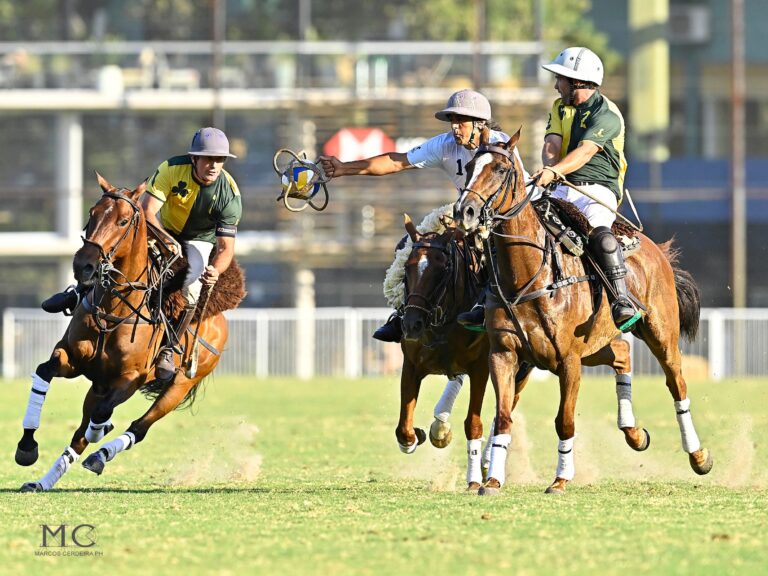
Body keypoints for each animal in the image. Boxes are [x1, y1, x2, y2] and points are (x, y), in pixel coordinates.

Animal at [15, 176, 236, 490]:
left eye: (122, 221)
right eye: (92, 213)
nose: (84, 265)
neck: (115, 307)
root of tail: (221, 321)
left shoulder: (131, 378)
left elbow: (102, 415)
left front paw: (100, 431)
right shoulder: (71, 358)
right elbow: (44, 372)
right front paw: (26, 447)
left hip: (180, 385)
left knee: (137, 427)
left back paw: (101, 454)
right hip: (99, 385)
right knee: (79, 436)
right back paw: (44, 482)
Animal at [452, 129, 712, 496]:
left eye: (501, 170)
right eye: (470, 167)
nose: (466, 212)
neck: (528, 275)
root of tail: (655, 248)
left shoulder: (568, 360)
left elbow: (565, 421)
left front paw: (560, 479)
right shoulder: (503, 354)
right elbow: (502, 415)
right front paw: (491, 481)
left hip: (660, 334)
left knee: (677, 383)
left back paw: (698, 455)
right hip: (595, 343)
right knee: (622, 353)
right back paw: (634, 433)